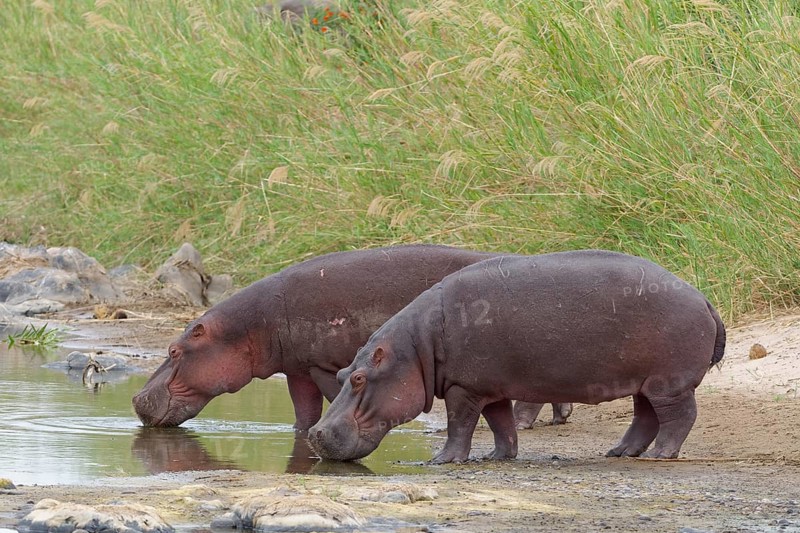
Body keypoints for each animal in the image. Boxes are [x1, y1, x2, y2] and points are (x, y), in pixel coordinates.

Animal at [132, 244, 569, 429]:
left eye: (174, 349)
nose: (135, 399)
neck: (248, 328)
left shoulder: (322, 365)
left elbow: (328, 398)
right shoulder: (299, 369)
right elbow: (303, 410)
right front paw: (300, 434)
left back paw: (523, 422)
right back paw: (559, 416)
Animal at [308, 250, 726, 463]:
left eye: (359, 378)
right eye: (343, 374)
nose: (313, 434)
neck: (415, 348)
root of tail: (704, 299)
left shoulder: (463, 388)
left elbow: (460, 424)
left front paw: (443, 460)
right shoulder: (487, 387)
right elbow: (500, 423)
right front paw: (499, 457)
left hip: (668, 383)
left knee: (678, 416)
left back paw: (660, 455)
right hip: (645, 381)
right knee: (645, 417)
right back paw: (620, 452)